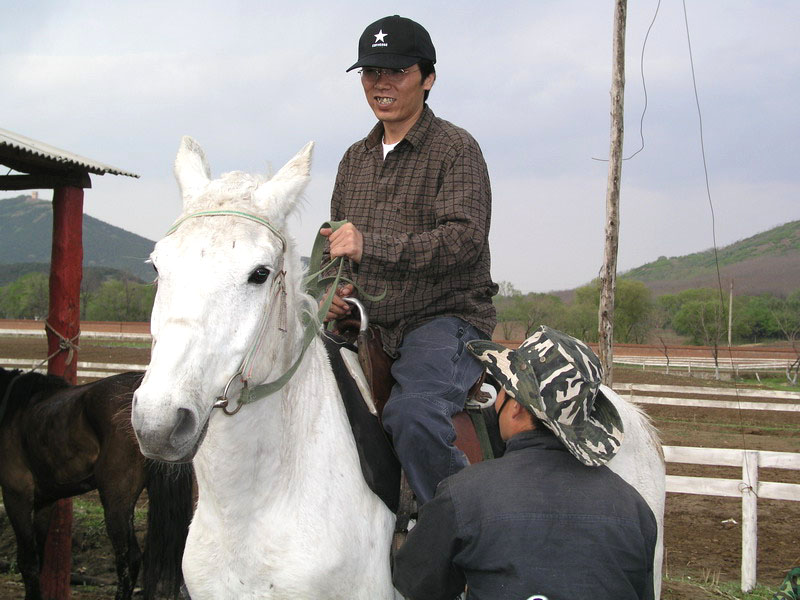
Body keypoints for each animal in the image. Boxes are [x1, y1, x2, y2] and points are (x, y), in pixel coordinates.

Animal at [0, 366, 193, 600]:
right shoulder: (45, 502)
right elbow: (38, 557)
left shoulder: (16, 495)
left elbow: (27, 561)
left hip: (116, 501)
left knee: (128, 559)